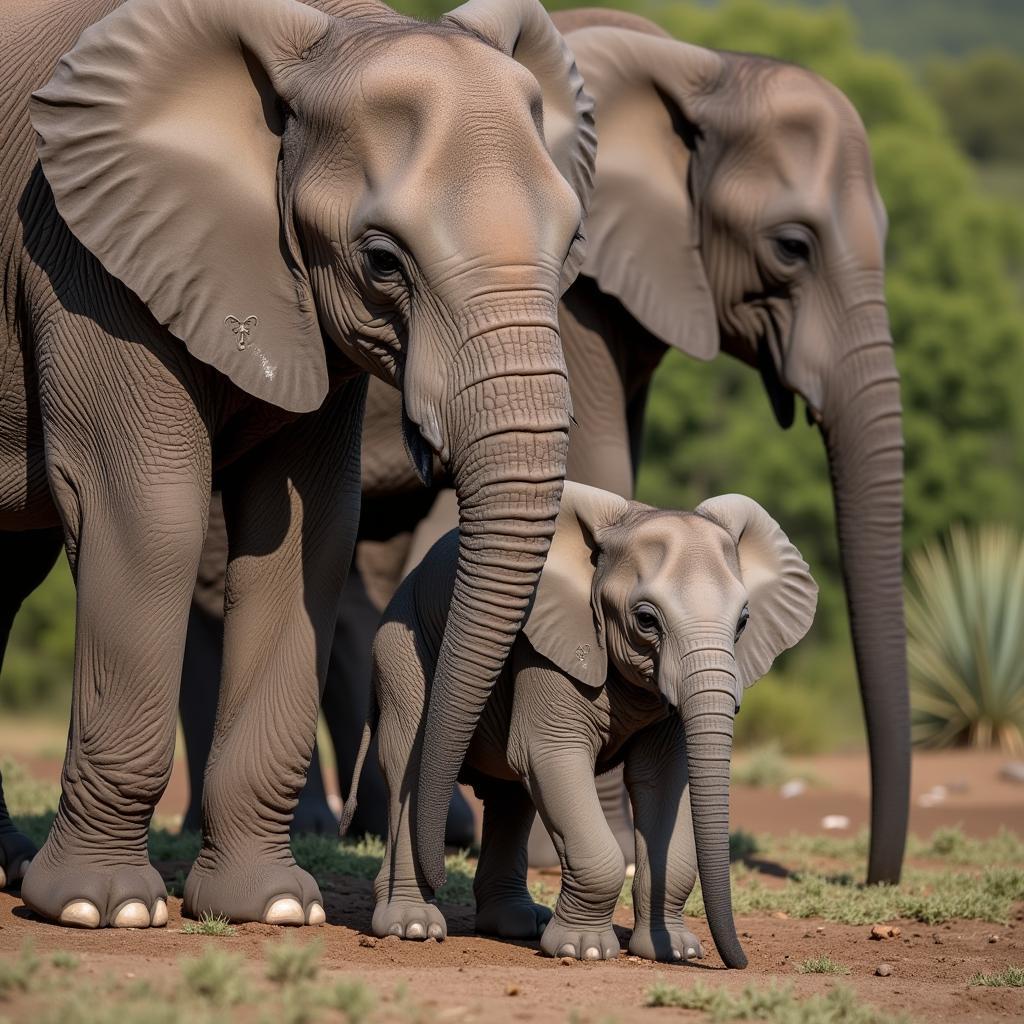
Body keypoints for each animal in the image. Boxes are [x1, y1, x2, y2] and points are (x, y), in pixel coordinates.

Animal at [0, 0, 598, 929]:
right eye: (382, 259)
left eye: (573, 237)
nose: (439, 875)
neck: (333, 36)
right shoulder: (79, 253)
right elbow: (147, 512)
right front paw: (103, 909)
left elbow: (308, 536)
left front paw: (272, 908)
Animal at [348, 481, 819, 966]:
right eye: (645, 619)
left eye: (743, 622)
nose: (736, 961)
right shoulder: (545, 646)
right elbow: (552, 752)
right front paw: (584, 951)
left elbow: (662, 777)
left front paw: (674, 951)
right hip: (401, 651)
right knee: (409, 764)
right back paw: (413, 927)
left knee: (510, 796)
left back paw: (517, 924)